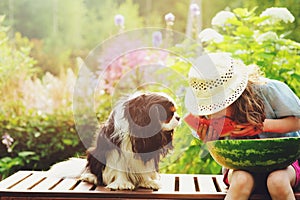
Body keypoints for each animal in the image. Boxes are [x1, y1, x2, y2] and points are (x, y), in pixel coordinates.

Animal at [47, 91, 179, 190]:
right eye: (170, 113)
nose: (178, 117)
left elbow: (144, 168)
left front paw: (148, 181)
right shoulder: (115, 148)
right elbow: (117, 165)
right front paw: (121, 183)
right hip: (94, 152)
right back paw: (92, 177)